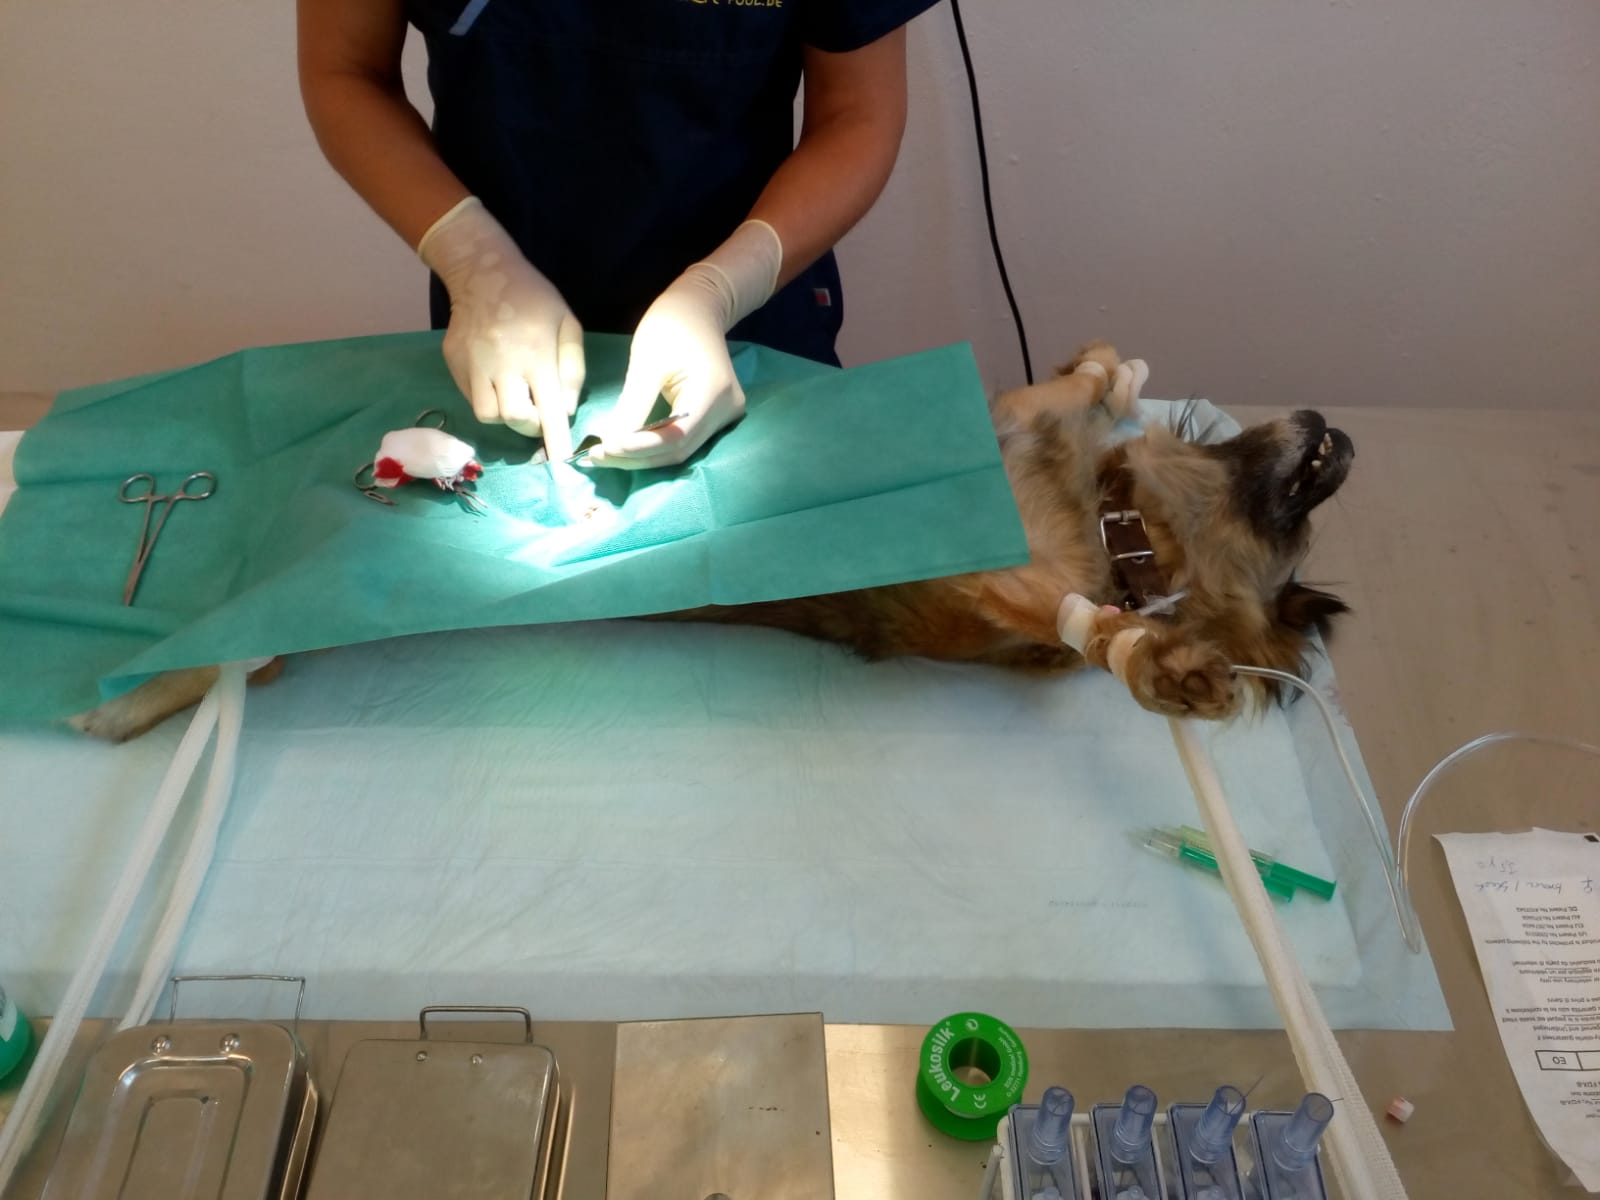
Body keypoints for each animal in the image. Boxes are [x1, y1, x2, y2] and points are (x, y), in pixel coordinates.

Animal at [68, 341, 1353, 741]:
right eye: (1298, 506)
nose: (1337, 432)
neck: (1118, 521)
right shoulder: (1018, 425)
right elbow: (1080, 379)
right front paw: (1118, 376)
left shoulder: (1007, 586)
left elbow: (1087, 627)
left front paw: (1162, 665)